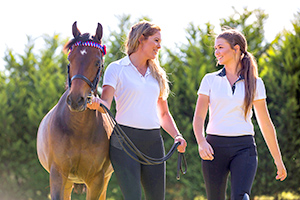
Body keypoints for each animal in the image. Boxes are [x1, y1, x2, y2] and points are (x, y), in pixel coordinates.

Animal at [36, 21, 113, 200]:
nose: (77, 100)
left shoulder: (97, 181)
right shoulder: (58, 174)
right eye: (70, 60)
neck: (79, 129)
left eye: (97, 62)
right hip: (67, 181)